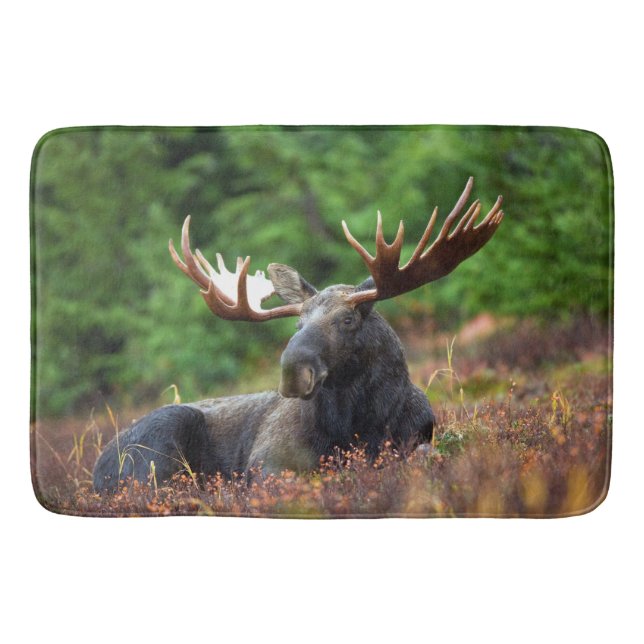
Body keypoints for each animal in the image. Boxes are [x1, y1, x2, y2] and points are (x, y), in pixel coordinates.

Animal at [92, 177, 504, 492]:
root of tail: (96, 469)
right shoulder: (266, 461)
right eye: (297, 324)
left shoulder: (417, 438)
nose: (293, 371)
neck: (360, 424)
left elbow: (423, 456)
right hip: (159, 443)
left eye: (347, 320)